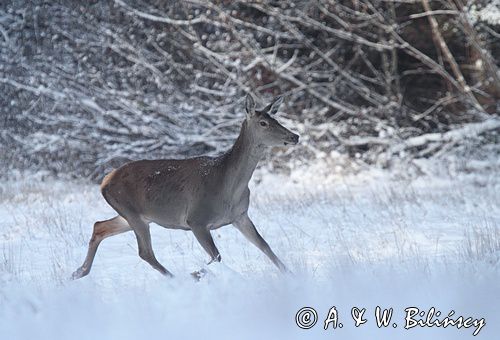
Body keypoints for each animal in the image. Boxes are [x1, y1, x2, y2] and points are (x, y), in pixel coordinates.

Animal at [72, 93, 298, 278]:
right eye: (263, 123)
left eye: (276, 118)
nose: (294, 136)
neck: (229, 189)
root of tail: (105, 181)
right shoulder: (196, 219)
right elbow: (216, 257)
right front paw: (196, 273)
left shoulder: (240, 215)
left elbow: (265, 246)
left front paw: (291, 275)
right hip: (131, 210)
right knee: (145, 252)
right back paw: (176, 278)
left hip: (135, 215)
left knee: (99, 226)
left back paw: (78, 272)